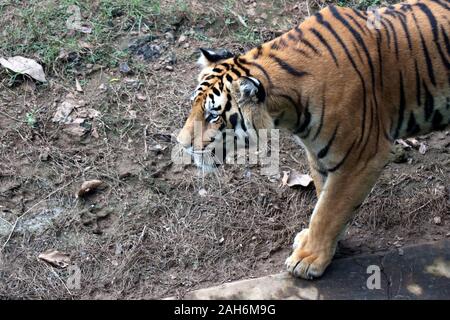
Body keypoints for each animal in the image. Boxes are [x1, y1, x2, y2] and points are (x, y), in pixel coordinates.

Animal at [176, 0, 450, 278]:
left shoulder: (362, 157)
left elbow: (328, 210)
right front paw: (319, 245)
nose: (181, 144)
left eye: (212, 115)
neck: (287, 111)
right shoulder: (319, 153)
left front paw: (308, 259)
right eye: (194, 106)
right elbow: (322, 196)